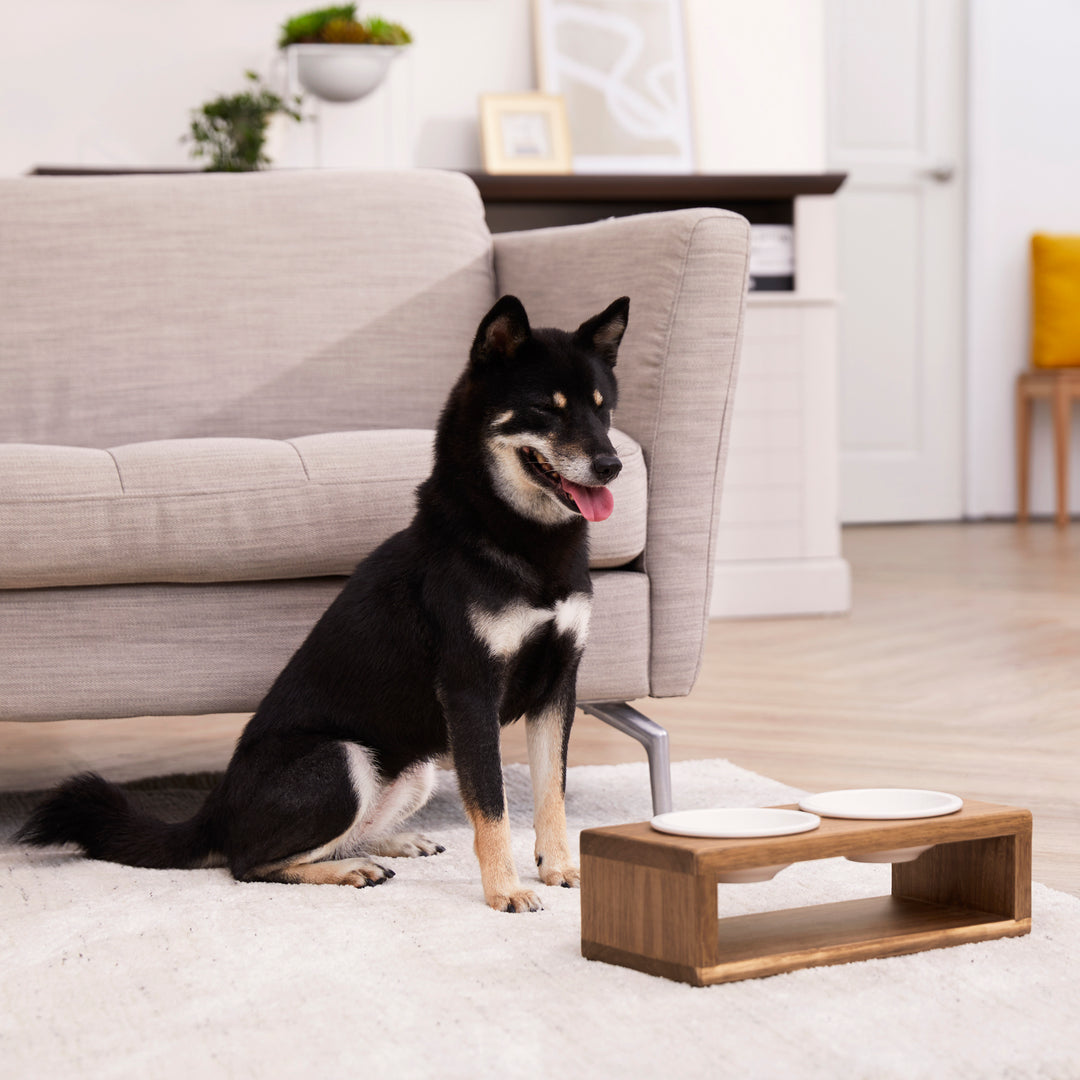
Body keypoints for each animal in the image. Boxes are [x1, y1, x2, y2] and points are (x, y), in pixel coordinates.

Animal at [16, 293, 630, 911]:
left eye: (603, 409)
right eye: (546, 409)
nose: (612, 465)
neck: (520, 538)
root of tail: (215, 812)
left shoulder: (558, 686)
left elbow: (552, 791)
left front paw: (561, 868)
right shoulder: (471, 692)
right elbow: (492, 806)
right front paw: (505, 891)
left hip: (419, 767)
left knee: (333, 838)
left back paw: (391, 844)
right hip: (343, 759)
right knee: (250, 863)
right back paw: (350, 869)